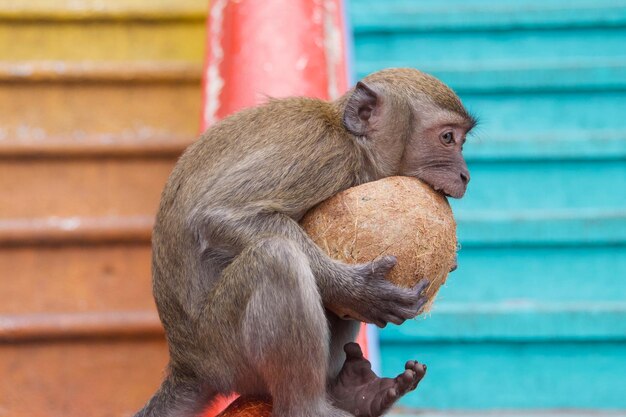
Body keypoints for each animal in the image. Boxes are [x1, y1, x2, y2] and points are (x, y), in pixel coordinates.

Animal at [135, 68, 472, 416]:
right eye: (448, 138)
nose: (465, 176)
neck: (352, 139)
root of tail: (186, 362)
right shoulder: (326, 156)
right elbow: (220, 215)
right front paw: (357, 290)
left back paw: (357, 395)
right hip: (223, 352)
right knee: (276, 258)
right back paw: (306, 406)